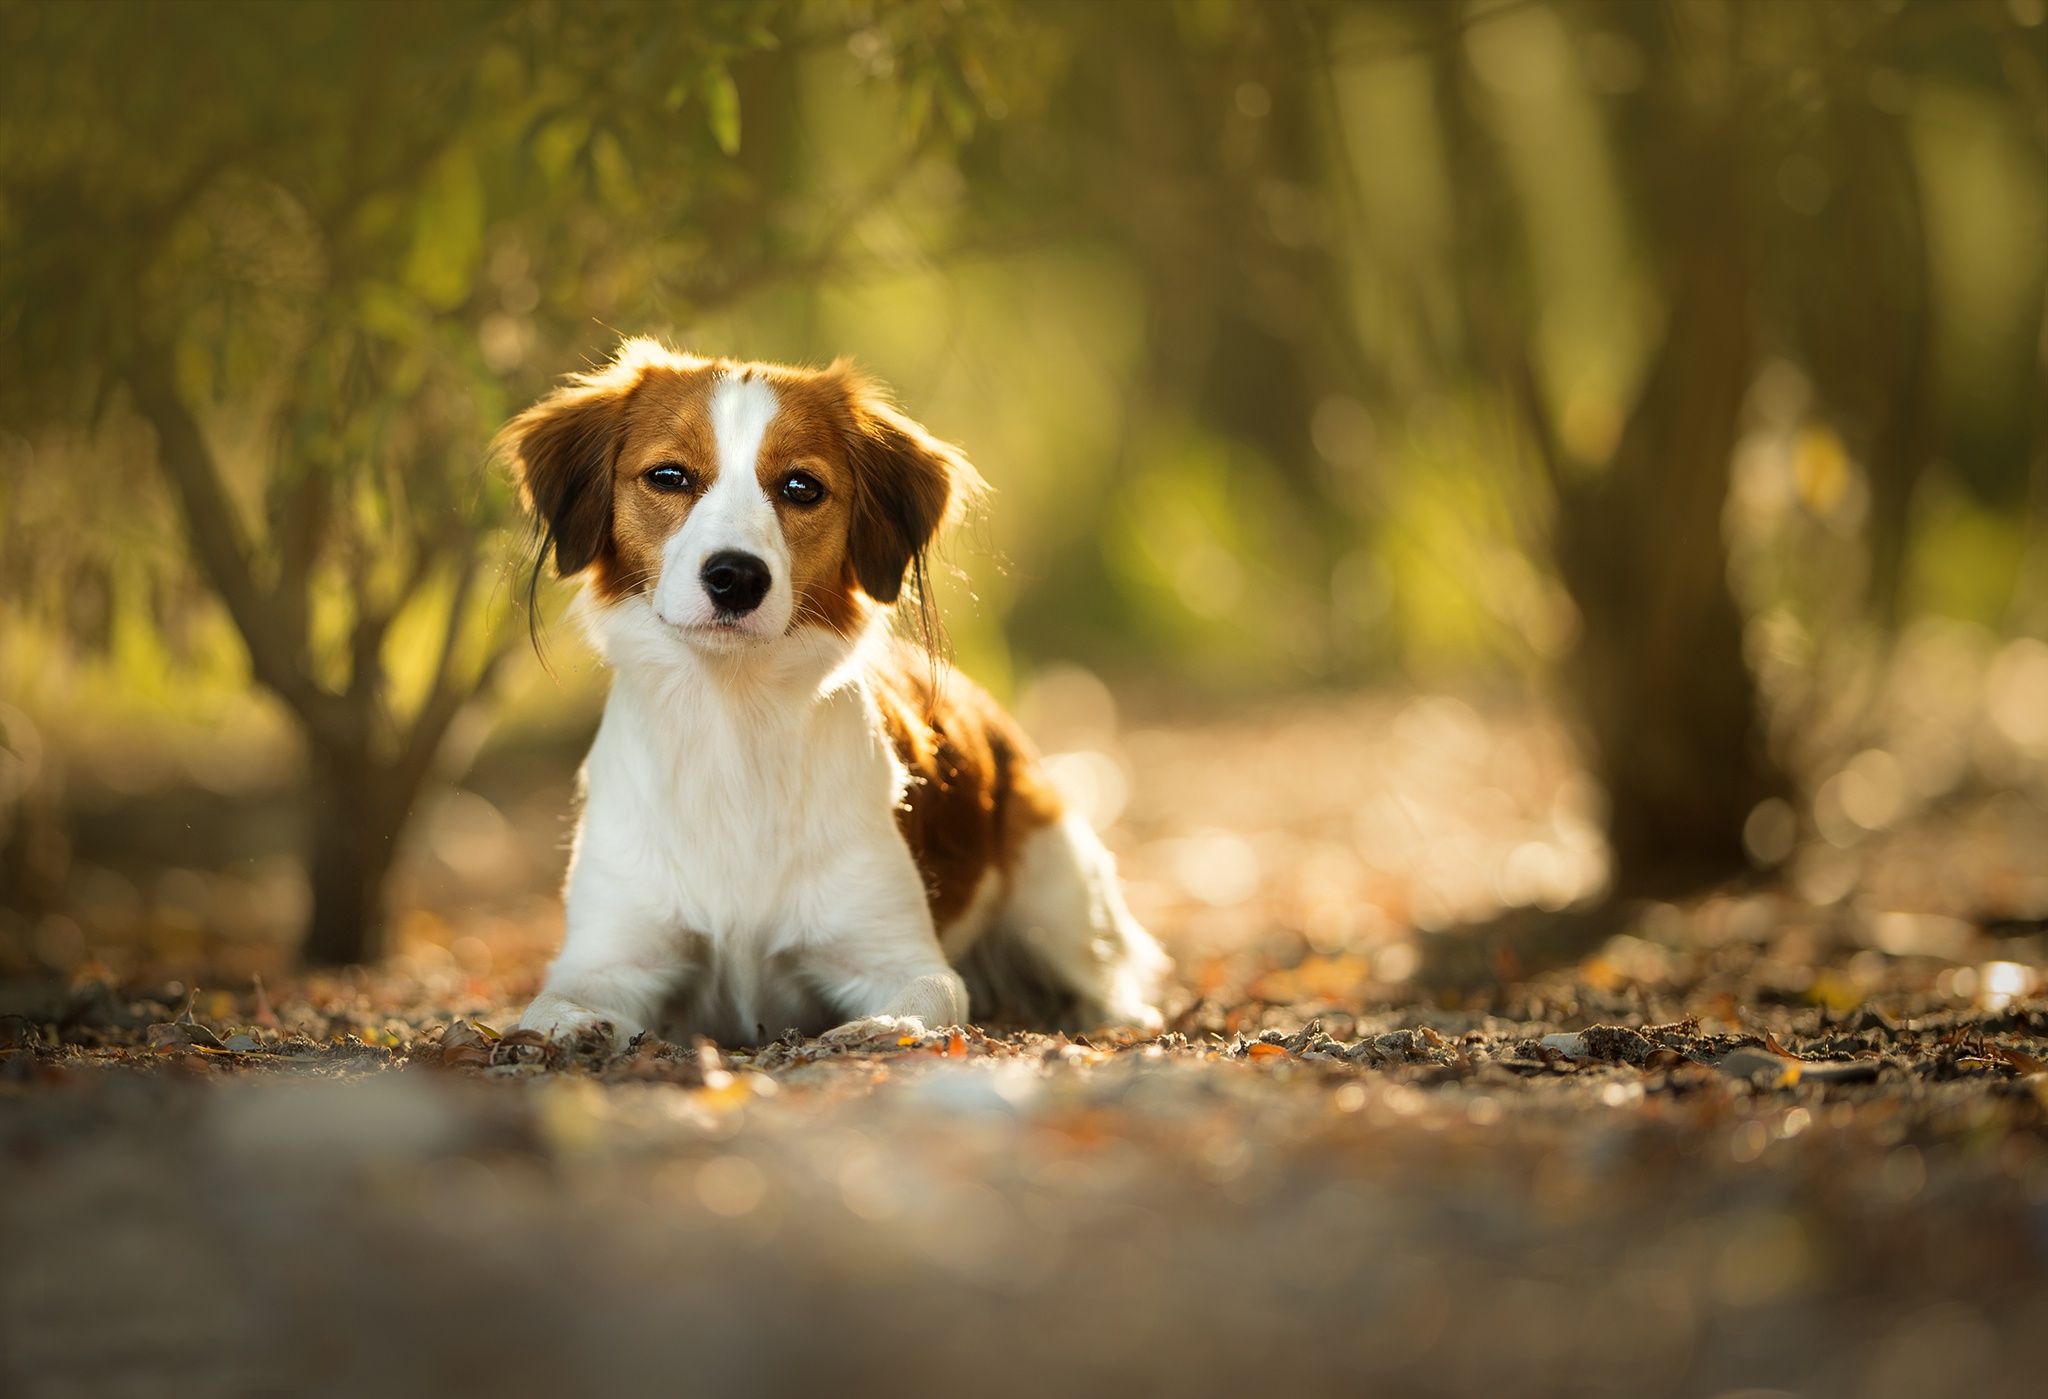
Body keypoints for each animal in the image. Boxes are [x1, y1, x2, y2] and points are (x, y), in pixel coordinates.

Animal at [495, 333, 1171, 1044]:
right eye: (669, 476)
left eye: (801, 486)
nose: (737, 576)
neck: (732, 725)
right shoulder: (610, 957)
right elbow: (548, 1007)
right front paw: (575, 1028)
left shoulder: (898, 955)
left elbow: (925, 997)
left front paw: (880, 1027)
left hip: (1056, 886)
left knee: (1109, 977)